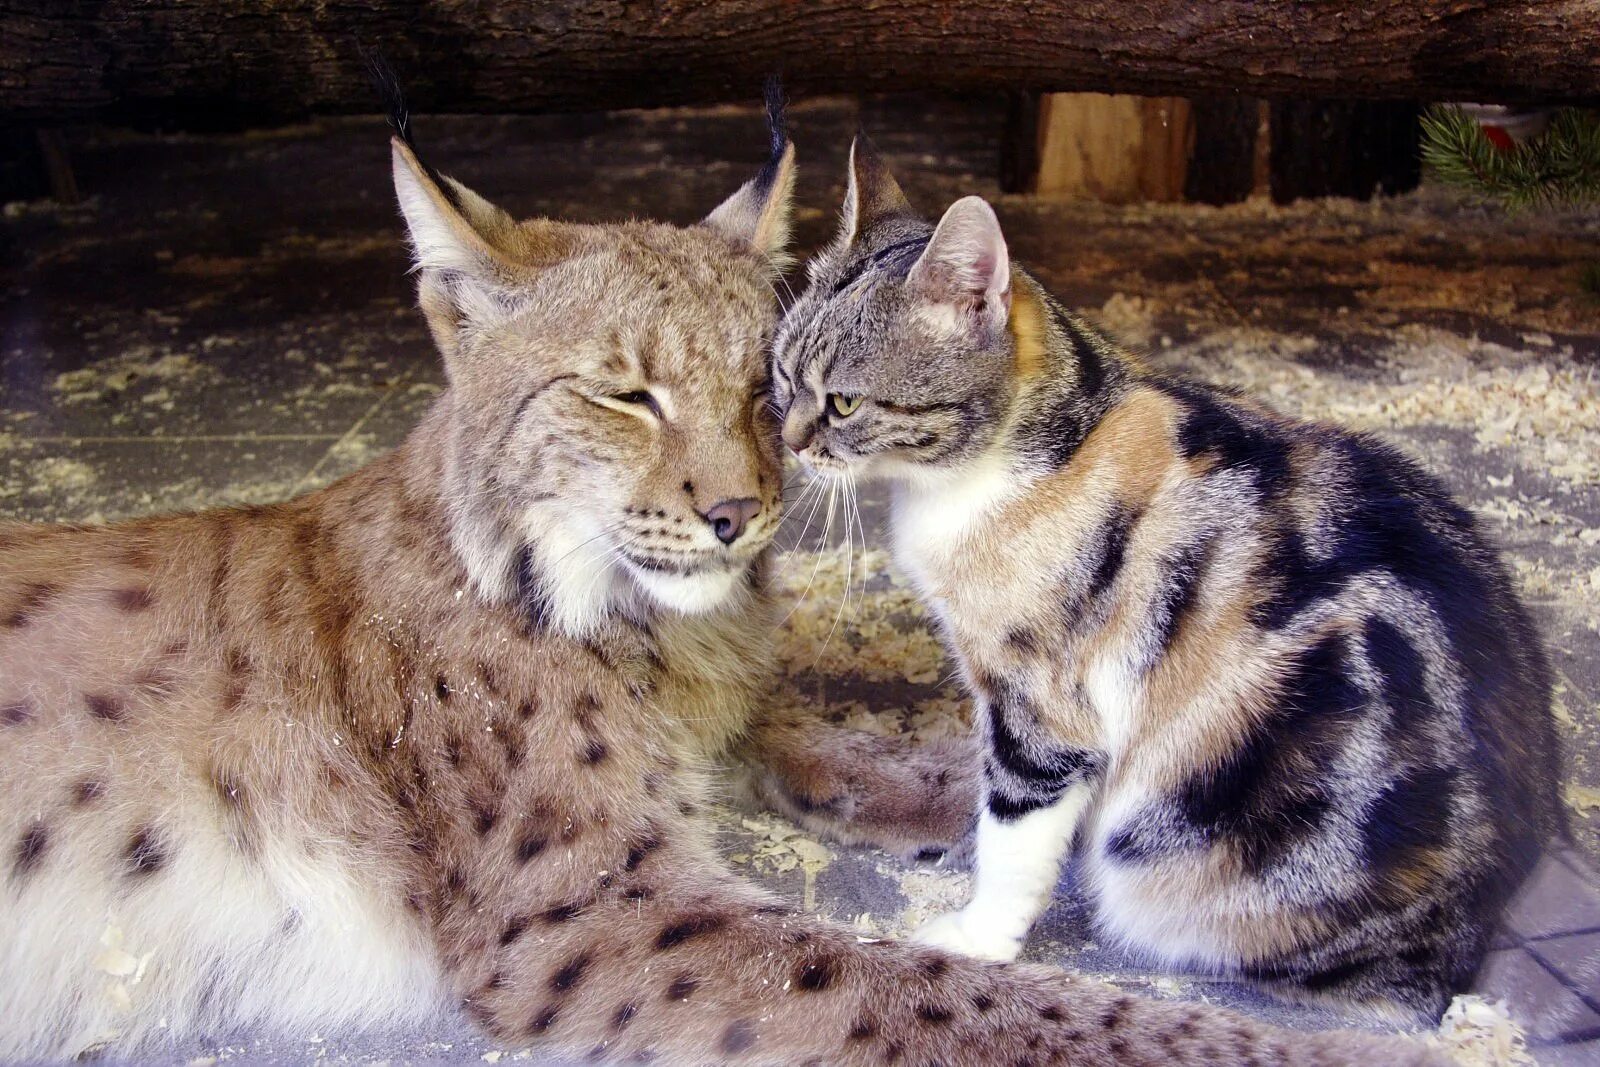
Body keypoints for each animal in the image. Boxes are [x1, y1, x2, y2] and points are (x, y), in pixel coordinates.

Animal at [0, 103, 1427, 1062]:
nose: (743, 517)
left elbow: (893, 757)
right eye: (624, 394)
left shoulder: (711, 740)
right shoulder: (589, 906)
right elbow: (923, 986)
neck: (623, 618)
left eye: (765, 386)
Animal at [774, 137, 1561, 1023]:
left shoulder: (1045, 707)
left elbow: (1013, 834)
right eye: (783, 374)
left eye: (843, 403)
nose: (789, 439)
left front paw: (977, 935)